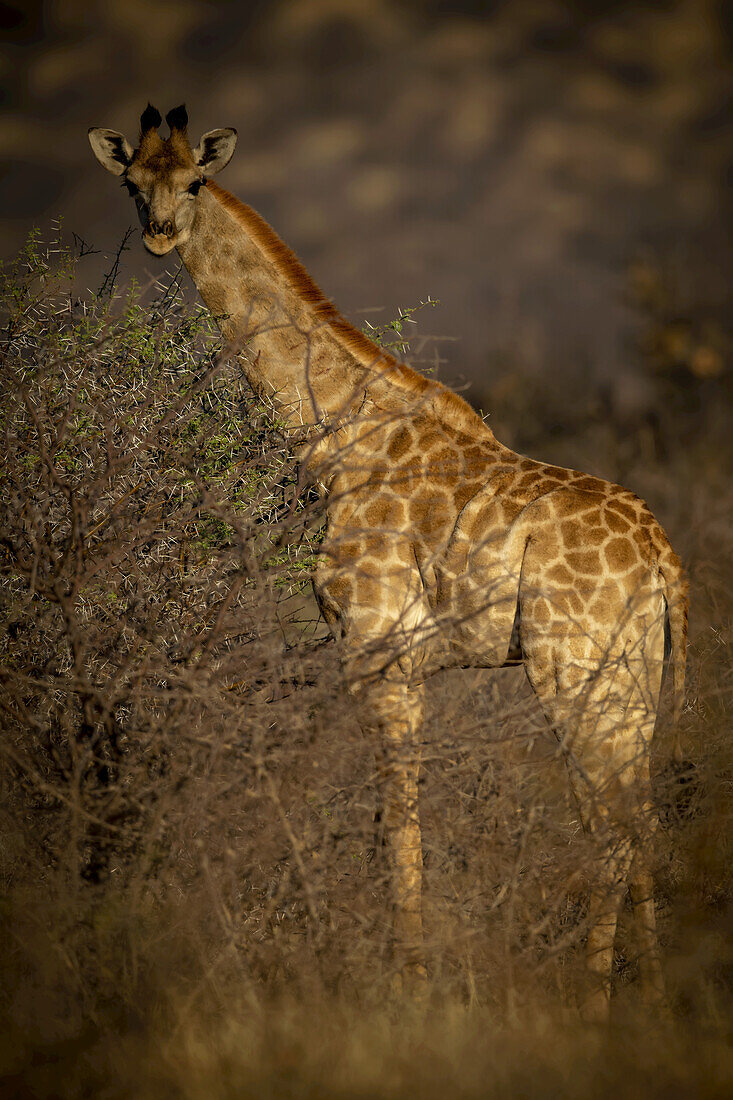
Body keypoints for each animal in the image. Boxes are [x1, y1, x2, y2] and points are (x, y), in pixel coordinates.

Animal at [89, 105, 686, 1020]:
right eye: (131, 182)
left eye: (192, 180)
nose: (158, 236)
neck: (334, 430)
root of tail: (659, 551)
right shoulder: (391, 661)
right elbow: (389, 820)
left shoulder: (379, 650)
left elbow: (397, 820)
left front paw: (406, 989)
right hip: (632, 669)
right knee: (640, 816)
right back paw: (652, 995)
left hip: (572, 666)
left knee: (609, 825)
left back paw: (594, 1005)